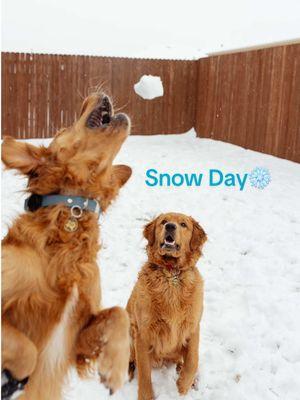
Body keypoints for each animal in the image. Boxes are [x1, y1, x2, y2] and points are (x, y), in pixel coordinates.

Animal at [1, 92, 132, 398]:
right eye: (62, 129)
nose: (96, 94)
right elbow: (28, 349)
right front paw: (14, 379)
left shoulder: (77, 335)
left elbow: (119, 314)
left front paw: (115, 368)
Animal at [126, 211, 206, 398]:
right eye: (163, 222)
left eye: (183, 224)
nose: (170, 226)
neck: (172, 275)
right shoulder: (143, 333)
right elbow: (144, 373)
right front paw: (146, 396)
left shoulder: (193, 326)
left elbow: (193, 360)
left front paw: (183, 385)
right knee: (131, 357)